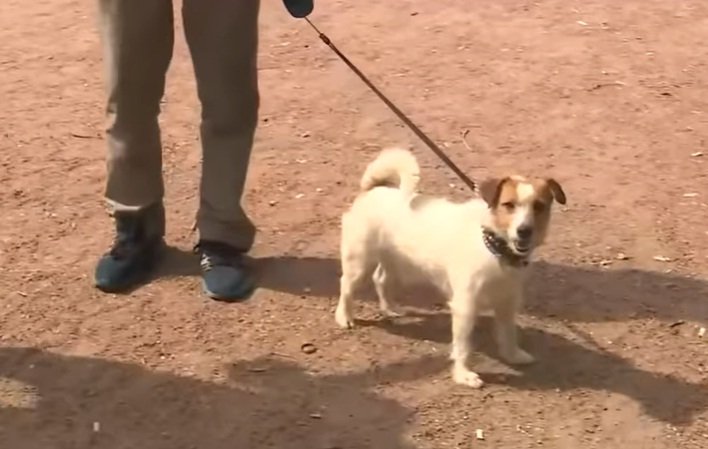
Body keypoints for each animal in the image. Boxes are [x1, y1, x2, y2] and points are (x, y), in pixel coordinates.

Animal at [334, 147, 568, 384]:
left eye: (539, 206)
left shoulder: (507, 302)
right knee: (346, 286)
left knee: (381, 279)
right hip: (359, 261)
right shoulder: (465, 306)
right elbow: (464, 346)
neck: (492, 246)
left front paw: (512, 355)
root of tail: (374, 189)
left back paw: (390, 308)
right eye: (509, 205)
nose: (524, 231)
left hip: (397, 261)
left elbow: (508, 334)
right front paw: (463, 374)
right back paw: (345, 317)